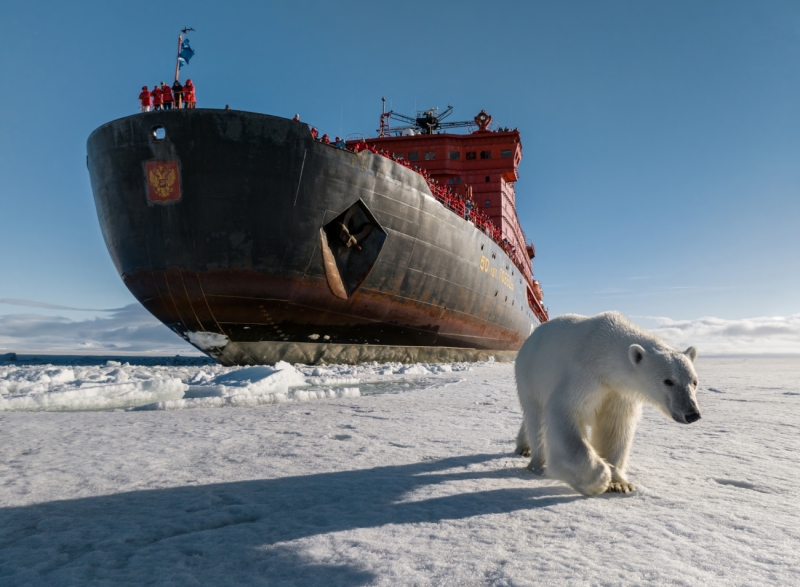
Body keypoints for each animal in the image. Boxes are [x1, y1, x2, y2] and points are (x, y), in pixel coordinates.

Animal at [515, 311, 701, 496]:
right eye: (668, 381)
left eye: (694, 382)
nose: (692, 413)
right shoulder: (583, 376)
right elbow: (564, 412)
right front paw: (598, 480)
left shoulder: (618, 392)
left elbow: (614, 427)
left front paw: (619, 484)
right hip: (530, 374)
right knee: (536, 418)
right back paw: (538, 463)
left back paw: (524, 446)